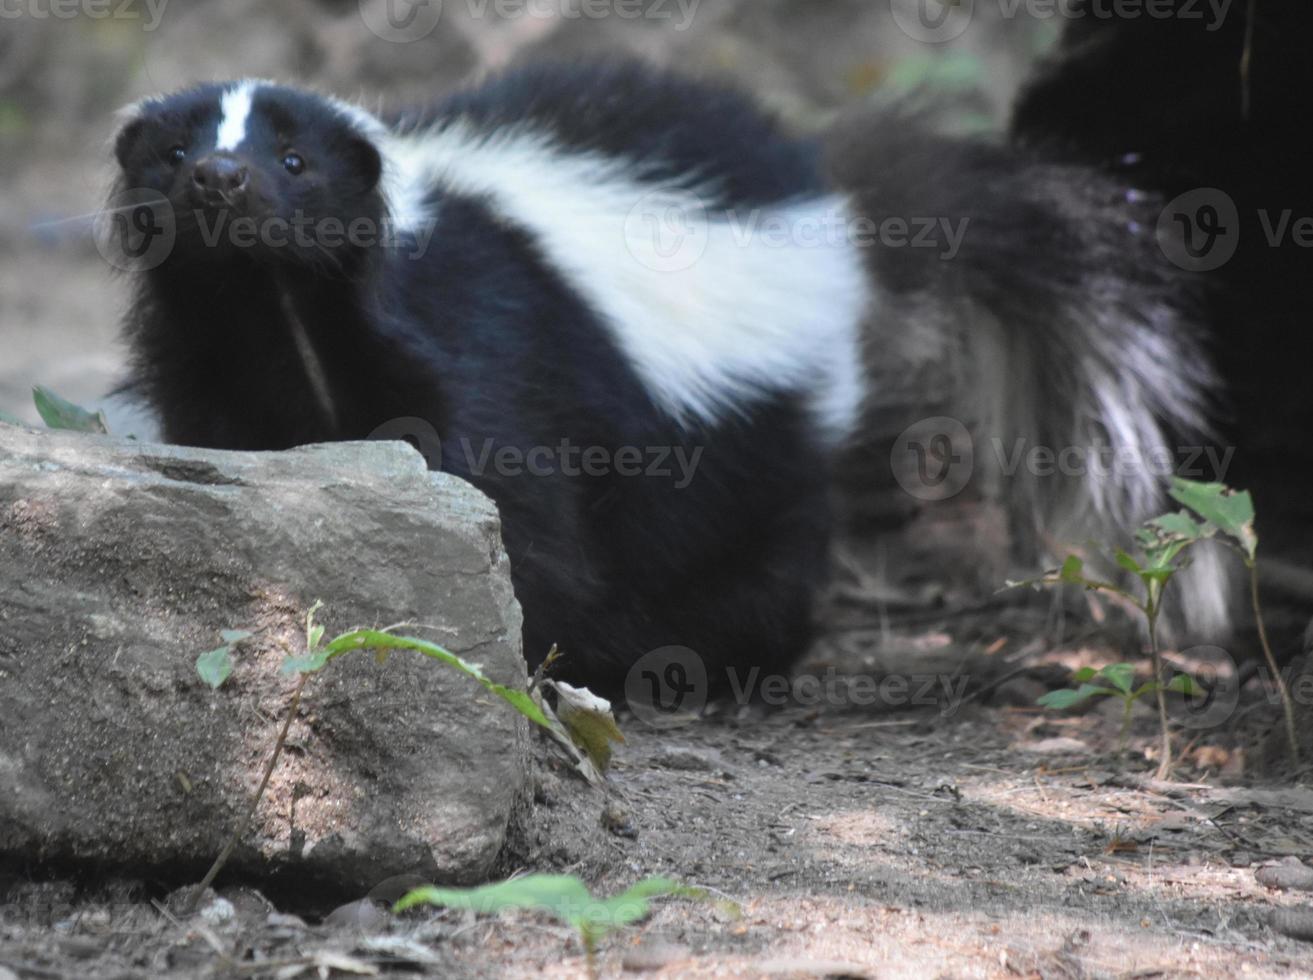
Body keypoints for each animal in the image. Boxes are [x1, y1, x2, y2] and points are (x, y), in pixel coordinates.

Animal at [110, 61, 1228, 693]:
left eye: (295, 163)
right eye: (172, 153)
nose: (220, 180)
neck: (279, 312)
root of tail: (819, 196)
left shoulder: (491, 351)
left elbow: (521, 521)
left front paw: (519, 657)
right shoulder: (215, 368)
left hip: (756, 445)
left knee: (757, 562)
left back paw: (713, 666)